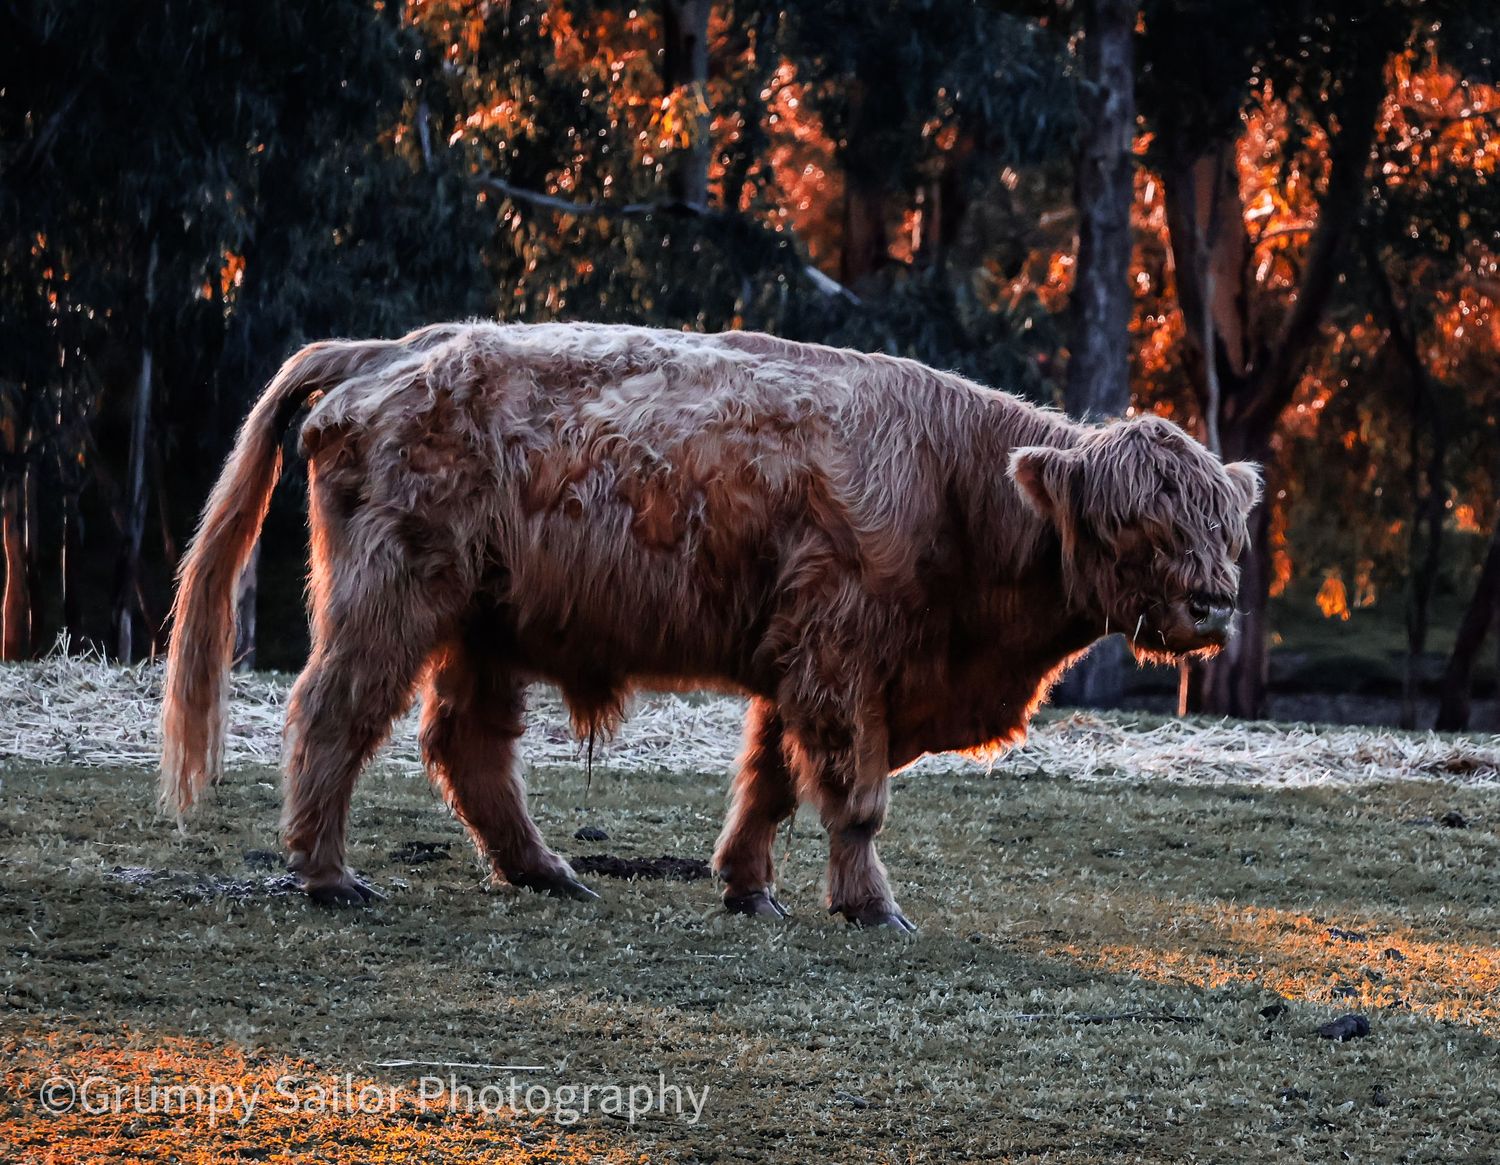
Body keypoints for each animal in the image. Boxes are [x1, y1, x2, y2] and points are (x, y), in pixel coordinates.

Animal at [161, 322, 1261, 930]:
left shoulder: (800, 663)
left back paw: (548, 872)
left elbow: (771, 781)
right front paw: (872, 906)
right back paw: (327, 874)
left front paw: (748, 888)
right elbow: (852, 794)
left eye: (1225, 526)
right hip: (393, 592)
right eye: (1130, 523)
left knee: (467, 744)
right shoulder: (839, 658)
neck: (953, 485)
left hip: (487, 621)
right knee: (334, 710)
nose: (1212, 605)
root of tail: (398, 348)